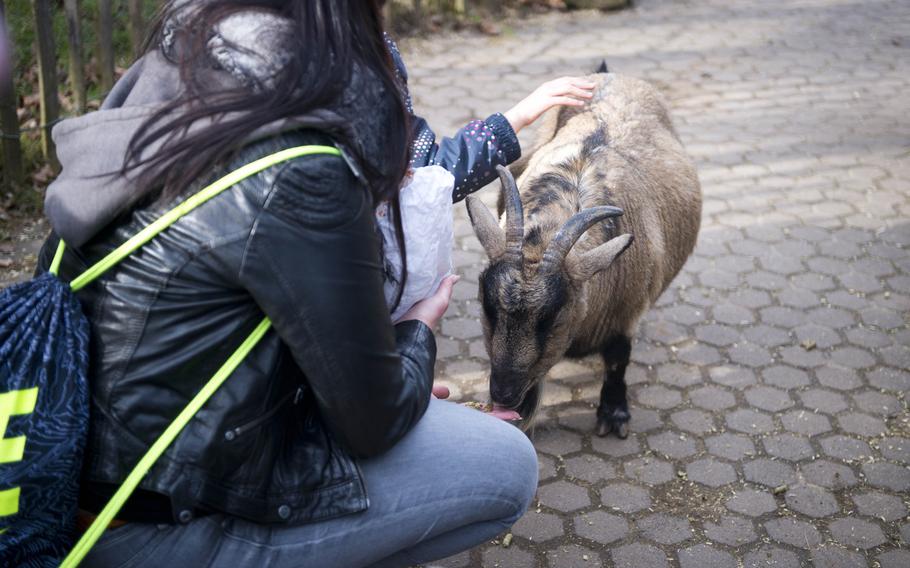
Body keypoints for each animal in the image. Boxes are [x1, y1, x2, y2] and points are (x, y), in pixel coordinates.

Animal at [466, 70, 700, 434]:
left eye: (549, 320)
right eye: (488, 308)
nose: (503, 394)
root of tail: (608, 73)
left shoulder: (626, 312)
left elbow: (618, 358)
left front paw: (614, 414)